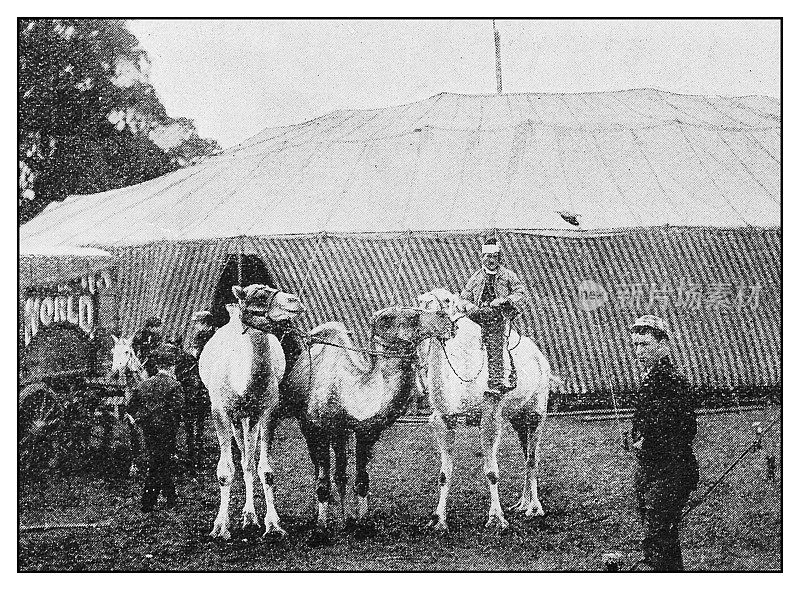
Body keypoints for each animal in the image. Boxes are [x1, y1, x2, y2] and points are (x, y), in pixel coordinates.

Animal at [200, 286, 306, 540]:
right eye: (257, 295)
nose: (294, 300)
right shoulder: (220, 412)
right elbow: (225, 472)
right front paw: (220, 527)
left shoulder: (268, 412)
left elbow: (265, 470)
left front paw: (273, 525)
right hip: (238, 419)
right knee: (243, 458)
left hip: (251, 418)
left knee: (248, 461)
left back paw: (250, 516)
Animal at [278, 308, 456, 540]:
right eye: (411, 316)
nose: (446, 317)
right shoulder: (319, 428)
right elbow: (323, 482)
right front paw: (320, 529)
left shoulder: (366, 432)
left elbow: (361, 479)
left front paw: (363, 523)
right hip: (309, 428)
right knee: (321, 469)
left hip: (340, 433)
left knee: (341, 473)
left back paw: (346, 519)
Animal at [416, 290, 552, 536]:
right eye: (420, 302)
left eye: (447, 300)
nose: (430, 315)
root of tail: (540, 357)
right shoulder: (444, 420)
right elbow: (443, 474)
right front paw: (438, 520)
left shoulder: (490, 416)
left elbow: (491, 471)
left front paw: (496, 519)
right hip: (517, 418)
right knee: (526, 453)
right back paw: (522, 503)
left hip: (537, 412)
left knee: (532, 458)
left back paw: (534, 508)